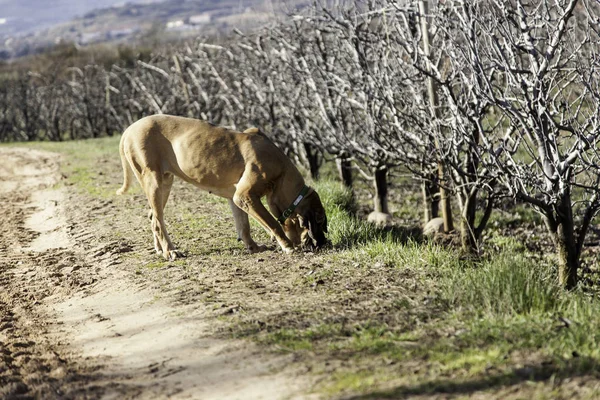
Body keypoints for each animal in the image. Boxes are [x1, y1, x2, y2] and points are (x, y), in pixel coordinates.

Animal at [116, 114, 328, 260]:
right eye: (319, 220)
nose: (325, 243)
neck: (282, 173)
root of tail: (128, 130)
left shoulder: (238, 199)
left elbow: (244, 225)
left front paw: (253, 247)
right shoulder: (245, 195)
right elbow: (272, 222)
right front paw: (287, 245)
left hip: (165, 183)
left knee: (152, 215)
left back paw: (160, 249)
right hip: (153, 180)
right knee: (158, 220)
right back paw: (170, 251)